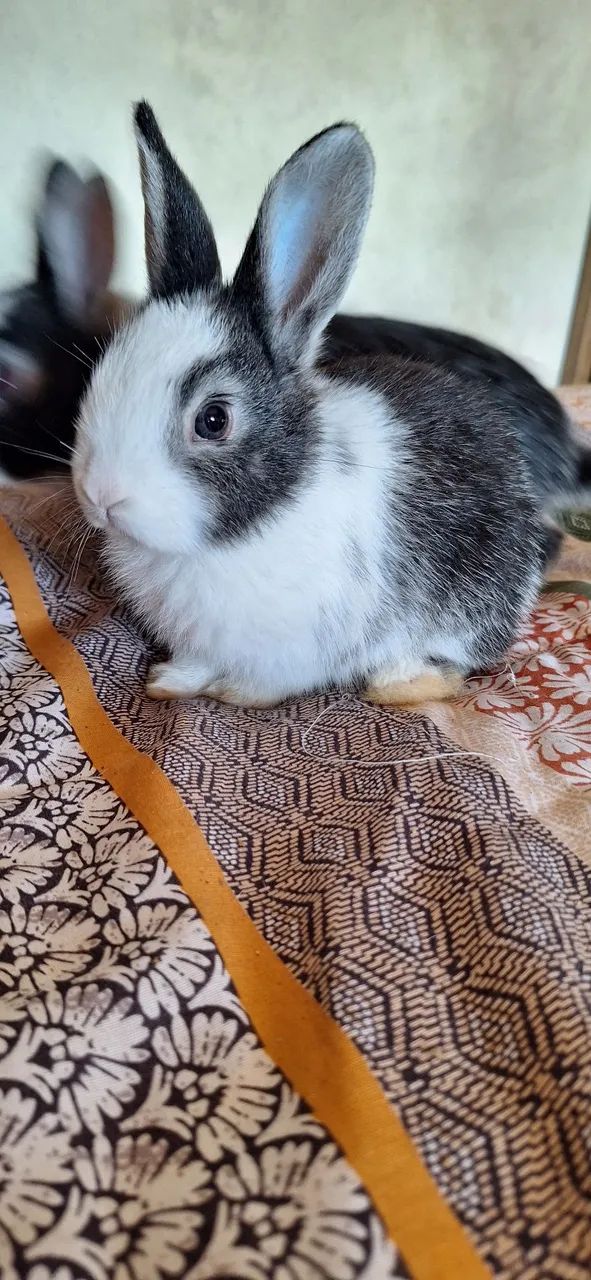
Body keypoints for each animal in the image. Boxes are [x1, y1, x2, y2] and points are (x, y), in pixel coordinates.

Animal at [73, 101, 574, 709]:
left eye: (213, 420)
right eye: (103, 372)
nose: (101, 496)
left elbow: (263, 682)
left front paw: (237, 695)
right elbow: (195, 663)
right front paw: (168, 683)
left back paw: (397, 684)